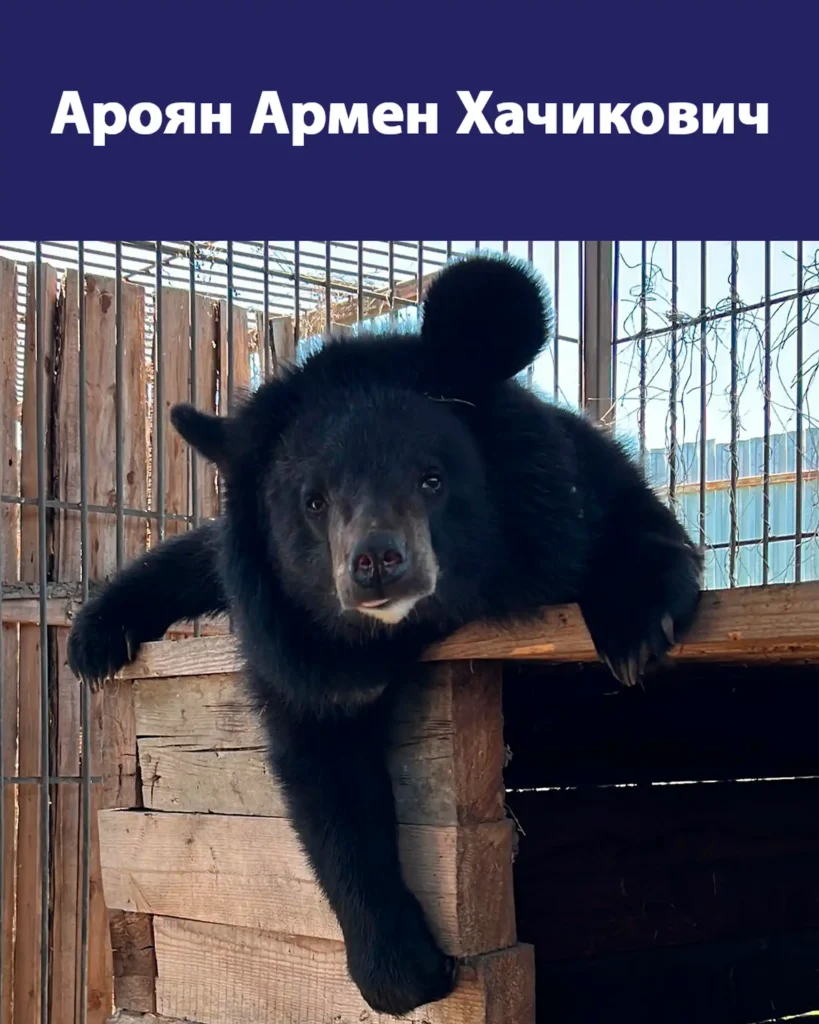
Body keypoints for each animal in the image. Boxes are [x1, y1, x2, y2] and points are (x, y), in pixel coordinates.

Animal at [67, 252, 702, 1016]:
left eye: (432, 479)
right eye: (314, 502)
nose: (374, 562)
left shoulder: (564, 494)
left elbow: (633, 524)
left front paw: (635, 632)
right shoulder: (298, 649)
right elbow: (328, 783)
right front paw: (405, 974)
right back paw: (93, 641)